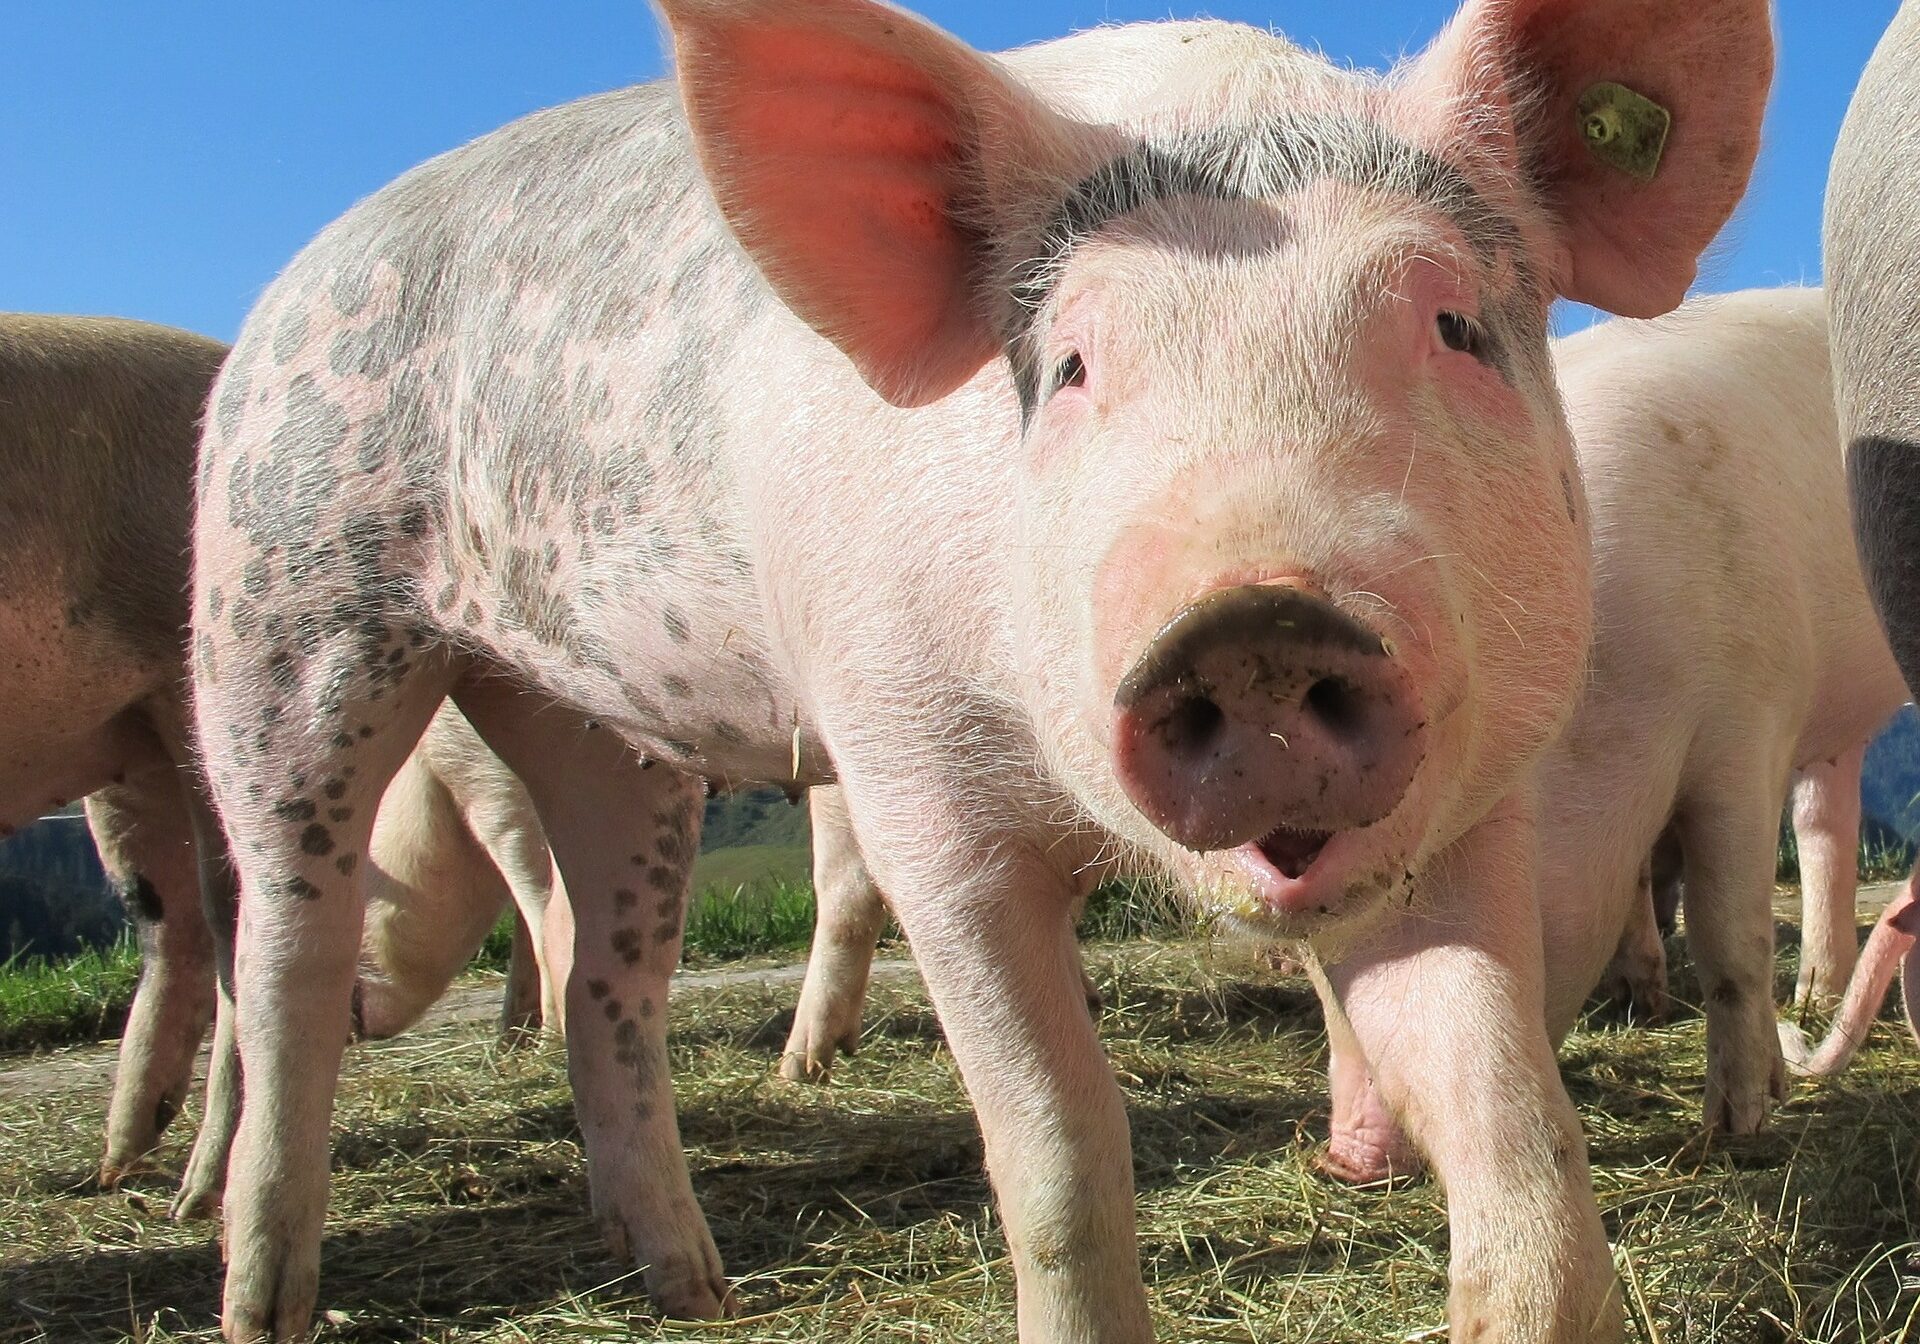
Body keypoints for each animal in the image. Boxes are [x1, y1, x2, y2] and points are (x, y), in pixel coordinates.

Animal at [191, 5, 1766, 1336]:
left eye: (1452, 325)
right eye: (1068, 366)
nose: (1256, 621)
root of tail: (289, 285)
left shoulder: (1473, 804)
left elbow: (1514, 1128)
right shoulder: (913, 794)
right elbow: (1061, 1159)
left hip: (599, 729)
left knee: (609, 978)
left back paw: (693, 1287)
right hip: (283, 600)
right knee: (285, 954)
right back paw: (263, 1302)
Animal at [1328, 286, 1912, 1182]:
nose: (1343, 1156)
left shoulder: (1747, 722)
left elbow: (1728, 929)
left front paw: (1738, 1125)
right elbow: (1639, 884)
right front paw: (1644, 998)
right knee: (1827, 820)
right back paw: (1812, 996)